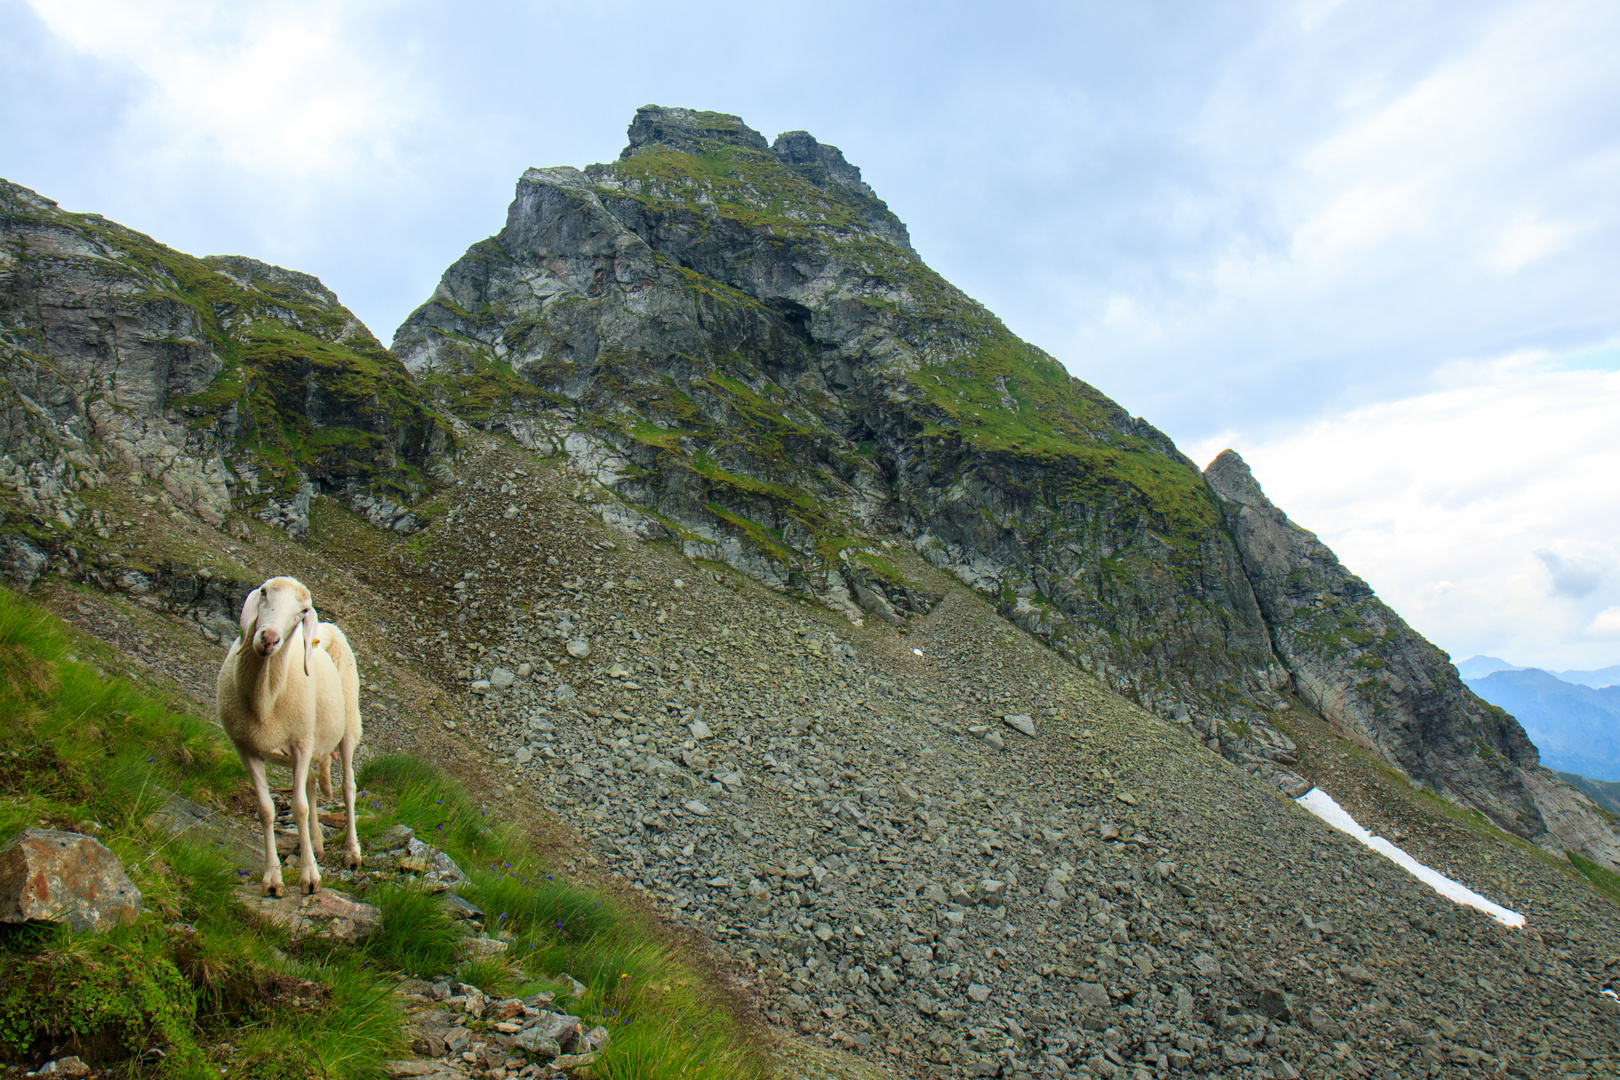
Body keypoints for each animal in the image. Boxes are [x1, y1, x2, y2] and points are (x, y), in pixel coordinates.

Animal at [217, 573, 362, 893]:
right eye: (263, 592)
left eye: (303, 611)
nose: (269, 638)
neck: (264, 699)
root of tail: (327, 627)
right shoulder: (246, 748)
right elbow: (266, 809)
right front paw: (272, 879)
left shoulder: (301, 744)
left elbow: (298, 808)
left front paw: (310, 877)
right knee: (311, 784)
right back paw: (317, 845)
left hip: (348, 726)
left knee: (348, 786)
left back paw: (352, 853)